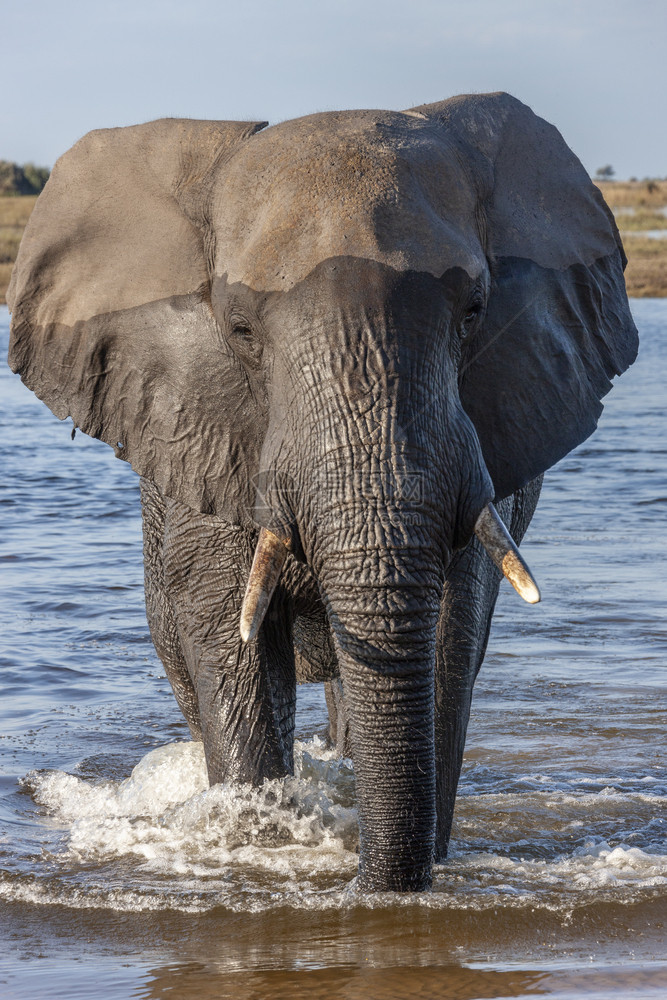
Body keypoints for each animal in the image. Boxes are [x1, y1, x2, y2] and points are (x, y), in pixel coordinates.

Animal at [9, 94, 636, 892]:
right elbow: (232, 638)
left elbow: (445, 631)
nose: (368, 888)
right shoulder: (206, 426)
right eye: (240, 326)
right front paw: (259, 845)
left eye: (474, 310)